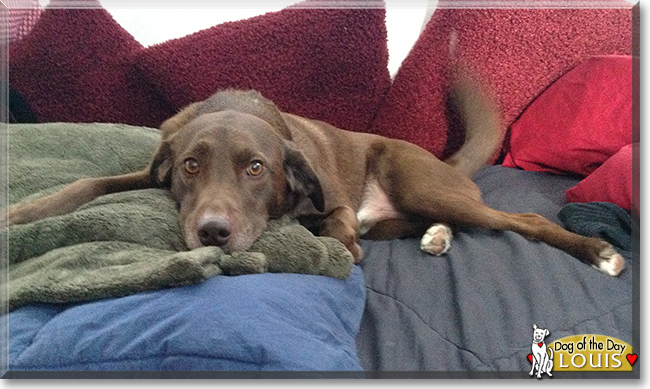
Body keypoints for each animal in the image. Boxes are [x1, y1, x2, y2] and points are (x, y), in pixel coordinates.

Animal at [3, 78, 624, 276]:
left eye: (256, 168)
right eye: (189, 166)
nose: (212, 233)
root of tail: (446, 165)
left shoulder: (331, 196)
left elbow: (338, 218)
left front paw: (339, 244)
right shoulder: (150, 166)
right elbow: (92, 184)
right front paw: (23, 211)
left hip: (415, 180)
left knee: (519, 218)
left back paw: (598, 252)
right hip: (401, 216)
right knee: (452, 222)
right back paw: (437, 236)